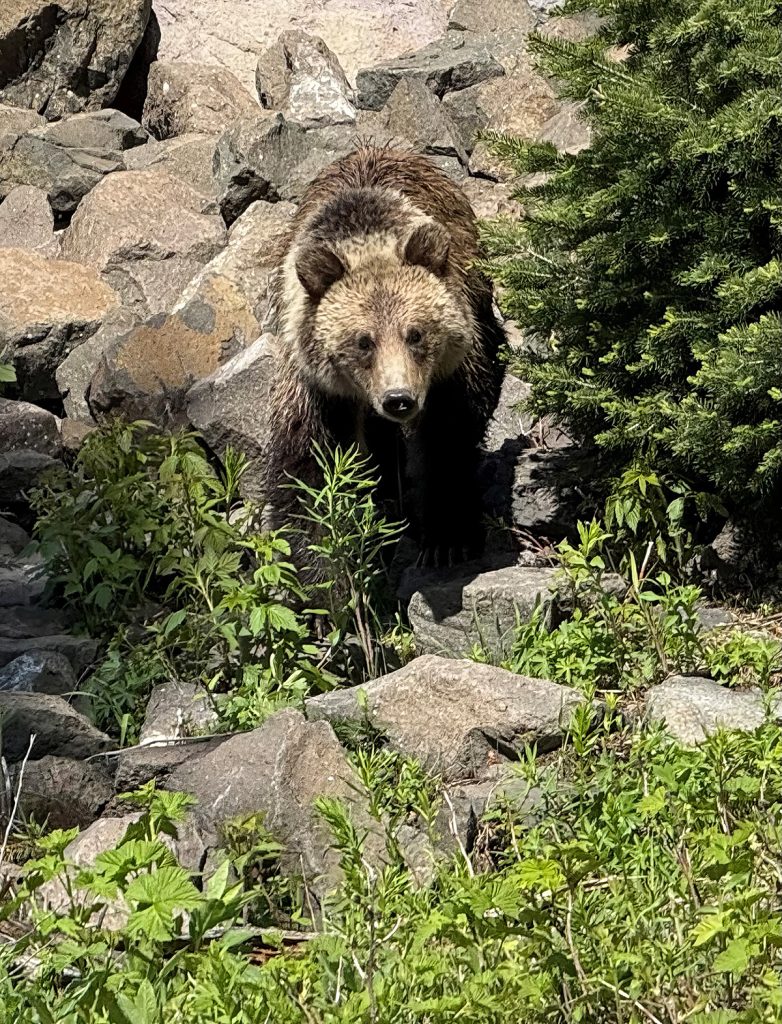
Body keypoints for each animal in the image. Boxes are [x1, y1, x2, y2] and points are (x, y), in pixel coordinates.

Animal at [263, 144, 507, 570]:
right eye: (364, 341)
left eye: (416, 333)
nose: (398, 399)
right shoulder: (318, 388)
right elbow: (310, 468)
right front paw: (328, 564)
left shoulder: (451, 370)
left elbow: (448, 437)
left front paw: (447, 539)